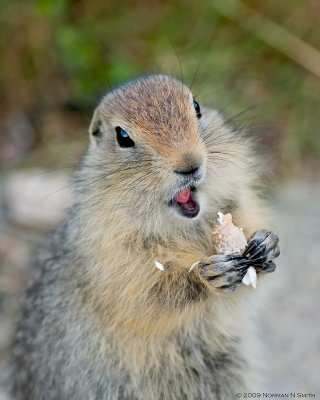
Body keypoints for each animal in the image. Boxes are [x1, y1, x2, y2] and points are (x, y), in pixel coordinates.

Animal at [12, 73, 278, 398]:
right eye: (123, 136)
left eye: (196, 106)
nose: (190, 164)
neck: (184, 227)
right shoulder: (112, 254)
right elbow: (150, 295)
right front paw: (209, 276)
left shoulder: (238, 202)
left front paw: (266, 245)